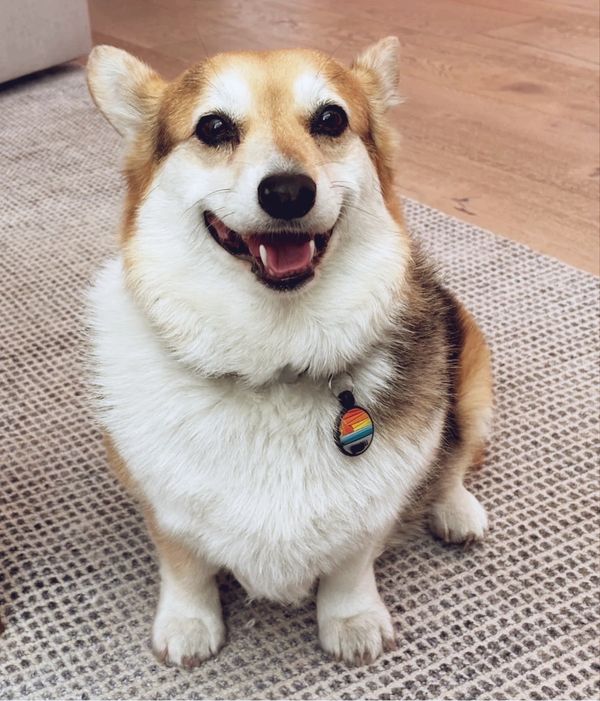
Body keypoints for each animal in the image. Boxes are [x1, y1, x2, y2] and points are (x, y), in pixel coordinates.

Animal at [86, 37, 493, 668]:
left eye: (331, 120)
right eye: (213, 127)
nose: (287, 192)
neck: (273, 361)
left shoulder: (371, 511)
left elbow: (351, 566)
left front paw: (351, 622)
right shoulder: (163, 506)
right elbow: (185, 568)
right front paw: (188, 625)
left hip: (468, 377)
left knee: (453, 459)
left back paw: (457, 512)